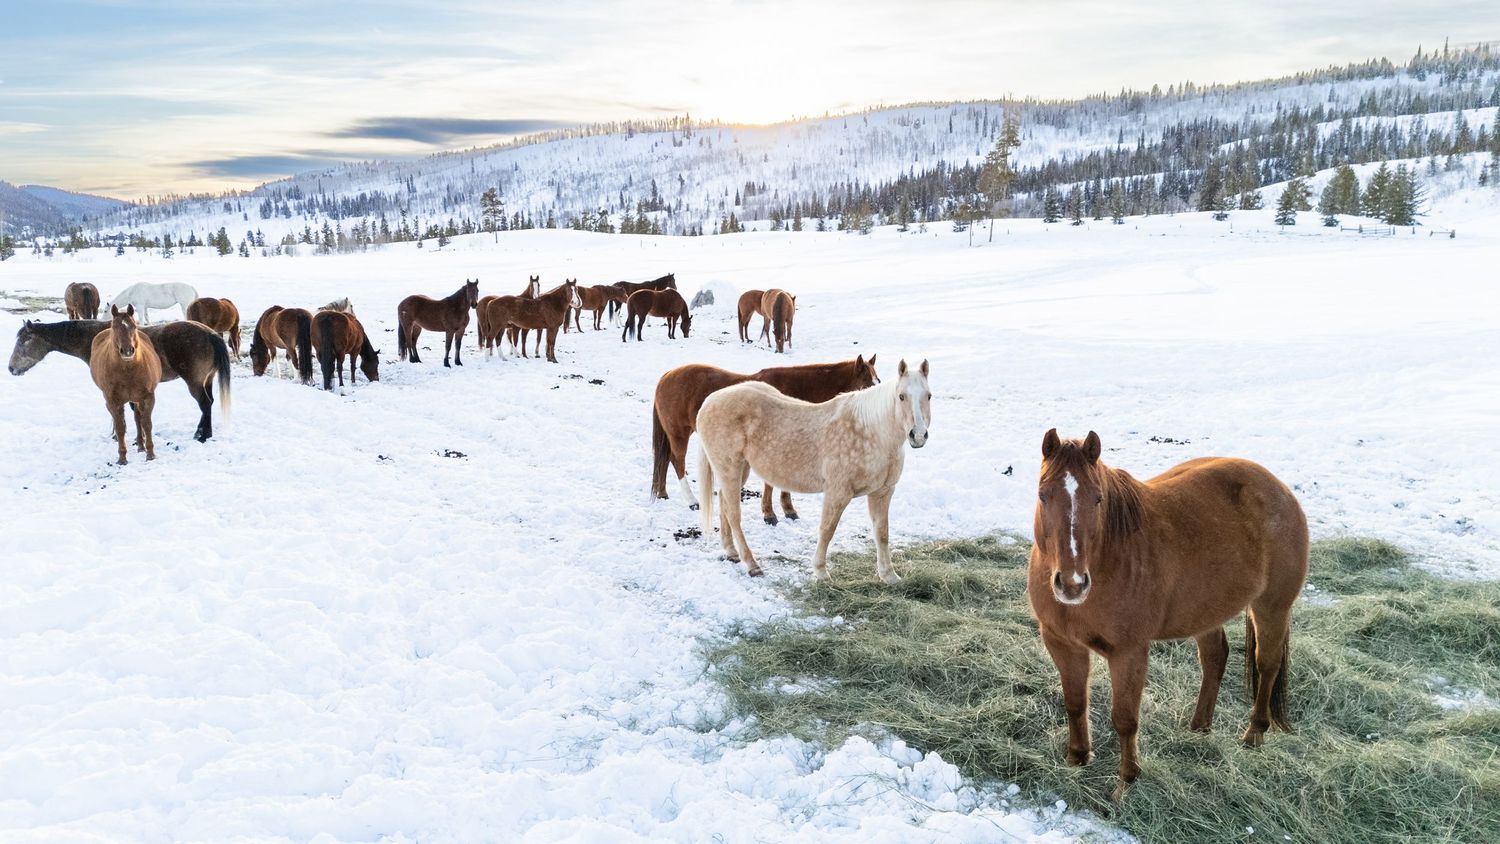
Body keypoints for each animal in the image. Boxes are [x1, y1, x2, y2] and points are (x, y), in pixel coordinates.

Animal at [10, 318, 232, 442]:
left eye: (24, 341)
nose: (11, 368)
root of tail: (211, 334)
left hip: (194, 382)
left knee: (205, 404)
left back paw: (202, 436)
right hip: (207, 380)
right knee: (209, 404)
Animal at [89, 305, 163, 464]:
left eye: (133, 326)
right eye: (114, 327)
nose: (128, 351)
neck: (128, 371)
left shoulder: (147, 397)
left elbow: (146, 423)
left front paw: (150, 454)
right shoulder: (113, 400)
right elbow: (120, 427)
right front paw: (122, 458)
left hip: (136, 399)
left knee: (138, 418)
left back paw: (141, 446)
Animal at [652, 356, 879, 522]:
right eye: (866, 385)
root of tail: (667, 376)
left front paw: (788, 510)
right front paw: (770, 514)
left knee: (665, 460)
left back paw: (662, 492)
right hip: (679, 433)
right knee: (677, 460)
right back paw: (691, 500)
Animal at [696, 359, 930, 580]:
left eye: (928, 395)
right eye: (901, 396)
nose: (917, 435)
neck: (871, 432)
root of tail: (709, 401)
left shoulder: (882, 492)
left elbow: (881, 533)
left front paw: (889, 575)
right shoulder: (837, 493)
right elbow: (827, 530)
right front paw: (820, 572)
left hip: (738, 470)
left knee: (724, 505)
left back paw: (731, 553)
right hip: (730, 468)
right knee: (734, 515)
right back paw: (752, 565)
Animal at [1026, 429, 1309, 798]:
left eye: (1098, 499)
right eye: (1043, 495)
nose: (1072, 584)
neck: (1109, 557)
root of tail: (1280, 489)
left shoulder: (1129, 653)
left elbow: (1125, 718)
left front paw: (1126, 782)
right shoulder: (1062, 643)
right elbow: (1075, 702)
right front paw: (1077, 758)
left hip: (1271, 607)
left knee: (1267, 665)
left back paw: (1254, 734)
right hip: (1207, 610)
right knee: (1215, 658)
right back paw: (1199, 728)